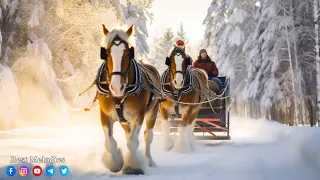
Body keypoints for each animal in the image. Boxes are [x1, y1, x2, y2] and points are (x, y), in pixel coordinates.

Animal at [97, 23, 161, 174]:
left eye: (127, 53)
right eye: (106, 53)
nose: (116, 87)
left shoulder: (138, 116)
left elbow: (133, 143)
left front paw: (133, 165)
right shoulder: (105, 115)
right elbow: (110, 144)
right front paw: (115, 163)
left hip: (153, 112)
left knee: (147, 136)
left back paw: (149, 160)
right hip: (124, 121)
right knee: (128, 134)